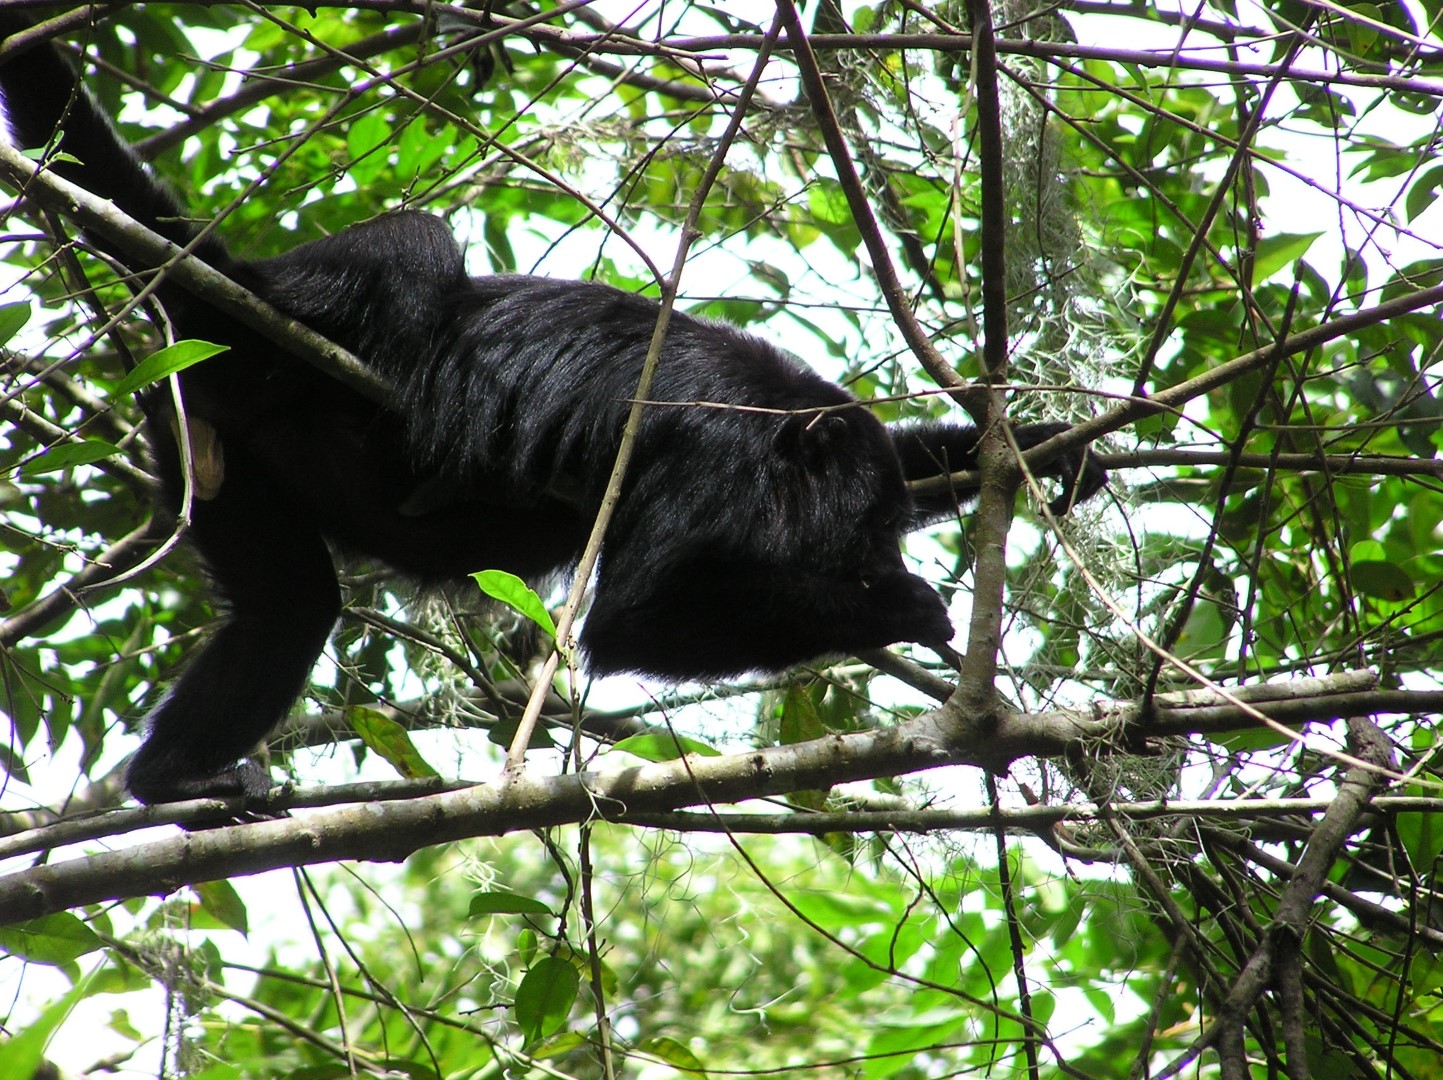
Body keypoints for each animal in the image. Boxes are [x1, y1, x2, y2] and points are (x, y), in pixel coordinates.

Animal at [0, 21, 1108, 808]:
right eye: (869, 523)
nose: (883, 554)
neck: (776, 424)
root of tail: (226, 295)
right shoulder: (711, 445)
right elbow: (632, 621)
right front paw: (904, 608)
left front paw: (1044, 450)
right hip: (262, 338)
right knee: (415, 248)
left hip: (202, 430)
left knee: (288, 606)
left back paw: (170, 780)